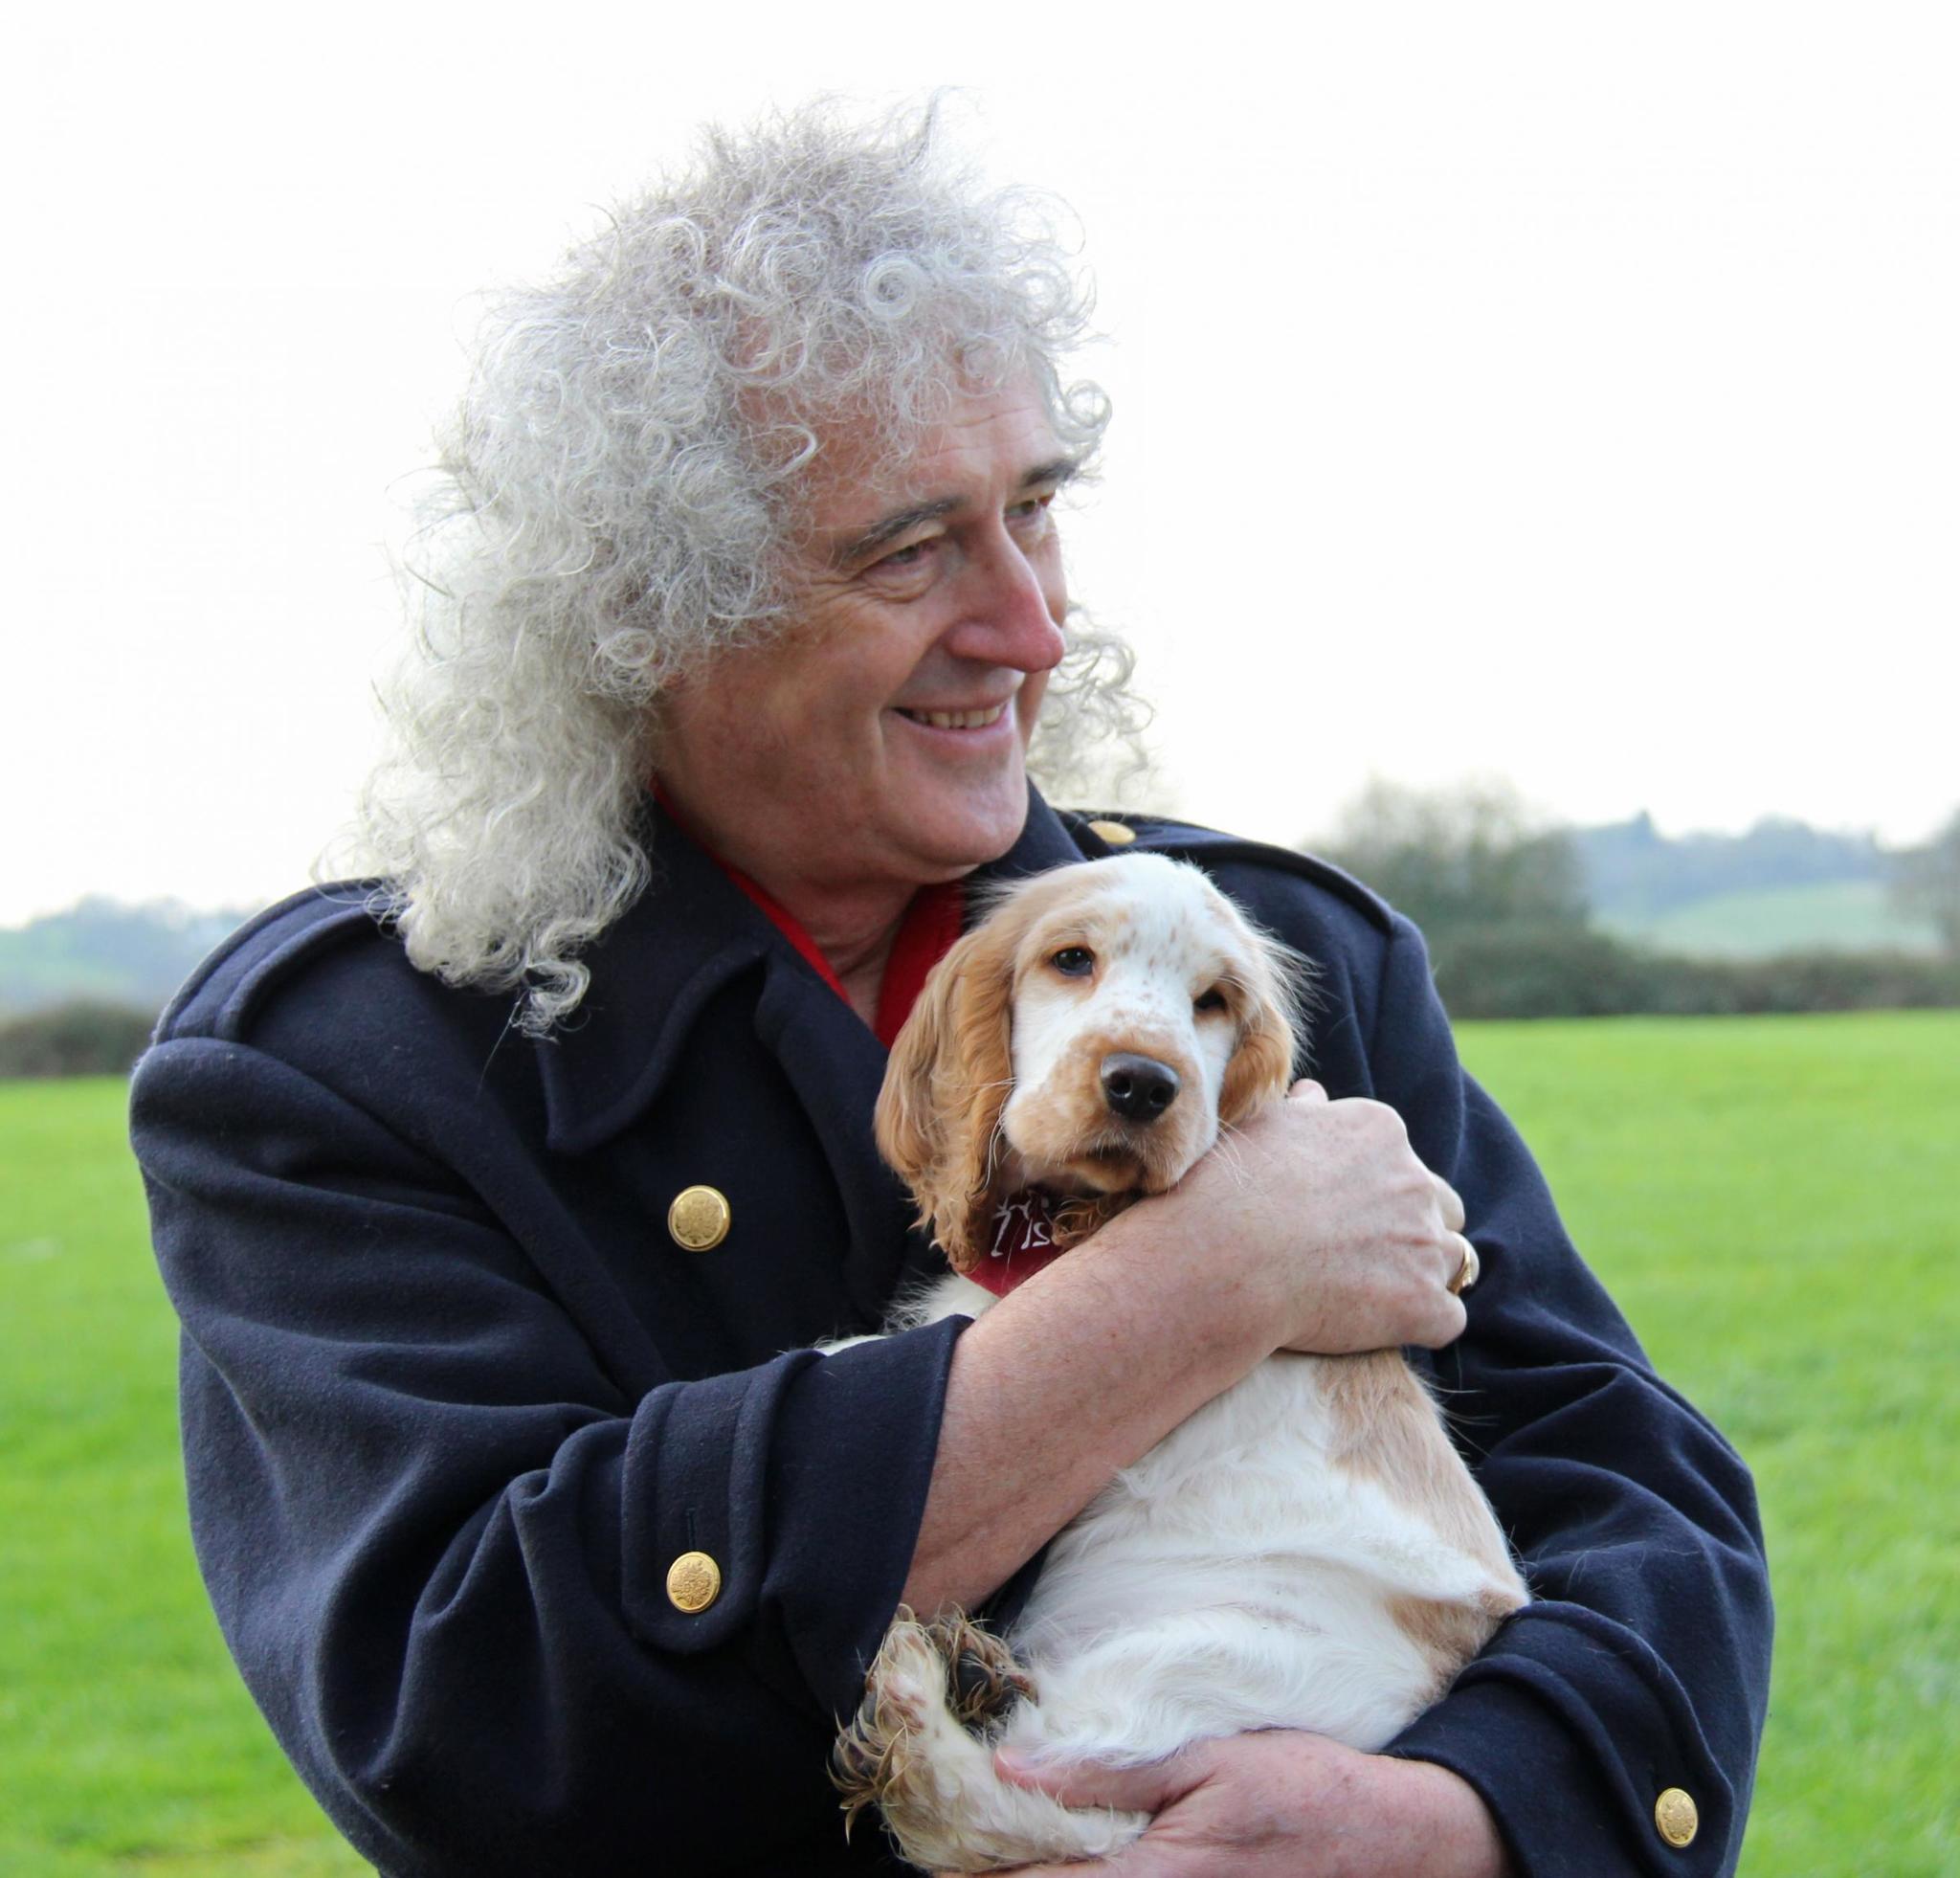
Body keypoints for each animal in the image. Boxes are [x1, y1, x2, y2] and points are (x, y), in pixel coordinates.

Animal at [831, 859, 1528, 1873]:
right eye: (1070, 960)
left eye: (1213, 1002)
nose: (1142, 1084)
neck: (1064, 1223)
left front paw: (835, 1350)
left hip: (1205, 1666)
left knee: (1048, 1804)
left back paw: (922, 1699)